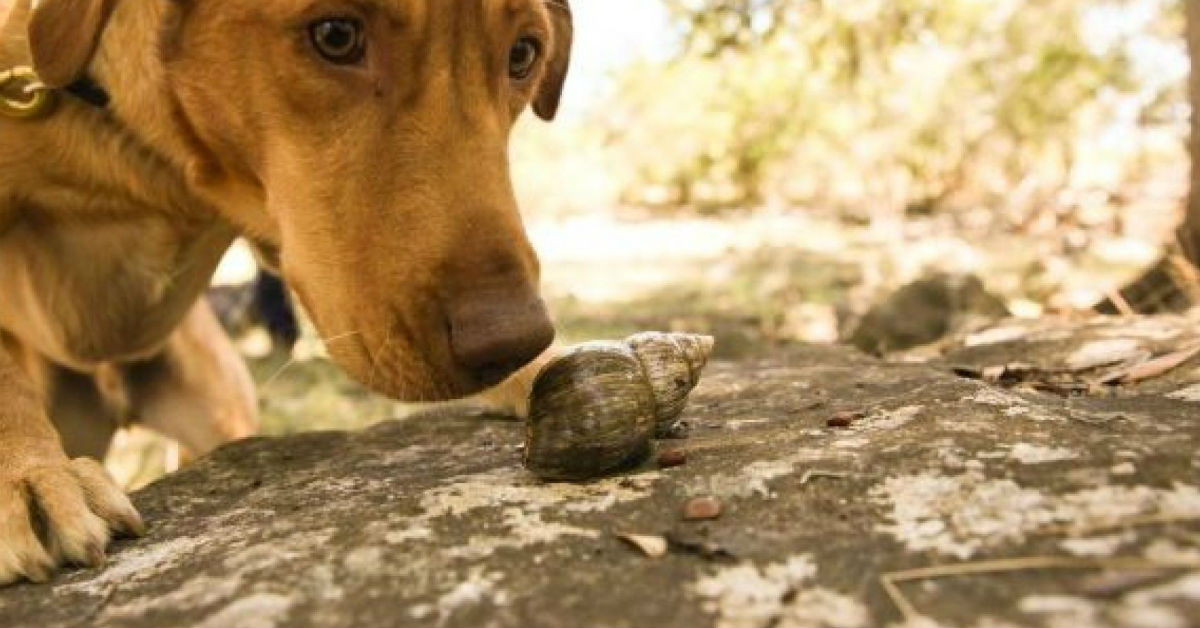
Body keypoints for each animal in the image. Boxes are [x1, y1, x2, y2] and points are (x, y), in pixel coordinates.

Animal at [0, 0, 571, 585]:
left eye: (523, 55)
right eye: (336, 35)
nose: (512, 343)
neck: (154, 165)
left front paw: (538, 369)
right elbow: (5, 375)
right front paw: (27, 474)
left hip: (220, 416)